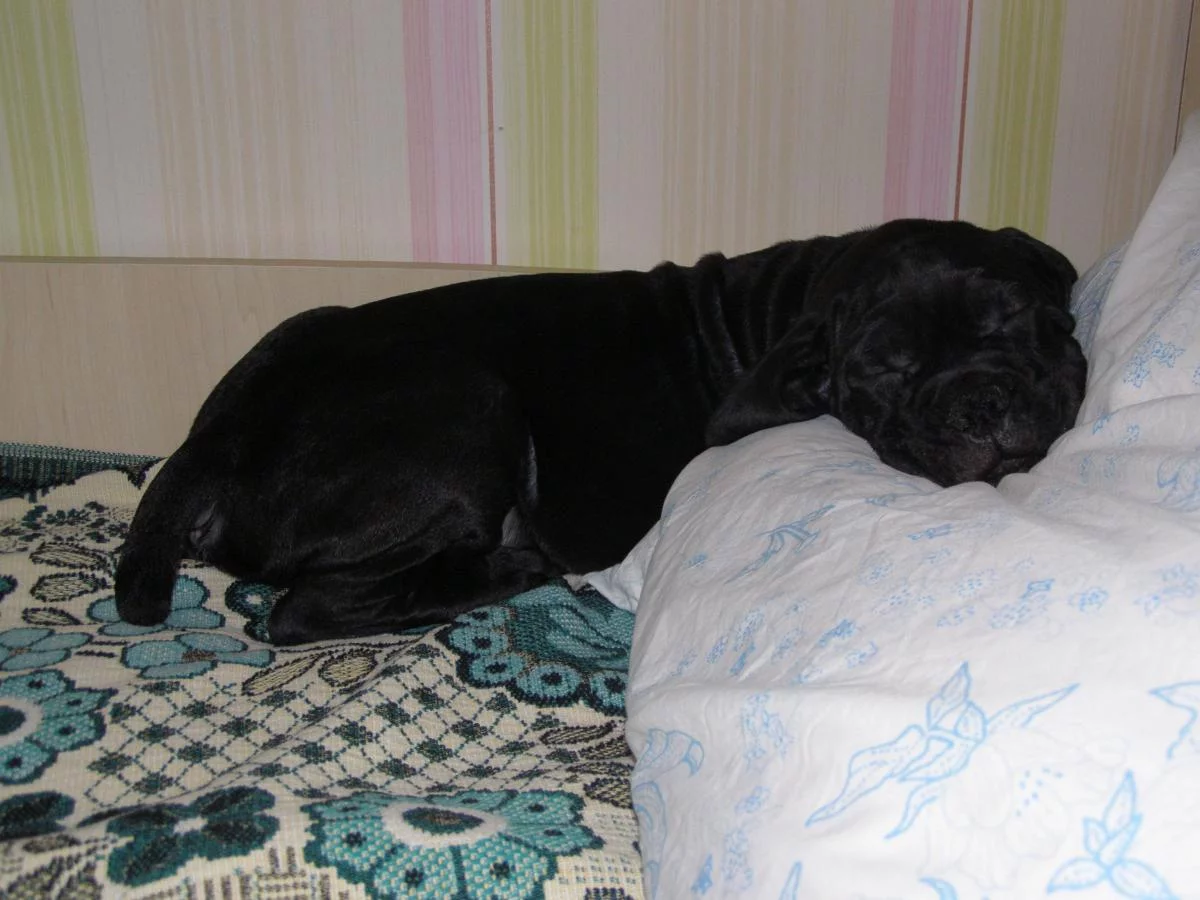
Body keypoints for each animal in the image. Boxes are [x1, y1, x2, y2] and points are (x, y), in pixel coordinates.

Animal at [114, 219, 1087, 644]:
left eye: (1017, 315)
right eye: (888, 369)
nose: (980, 404)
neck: (786, 307)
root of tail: (208, 438)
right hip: (470, 408)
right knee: (306, 613)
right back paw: (514, 567)